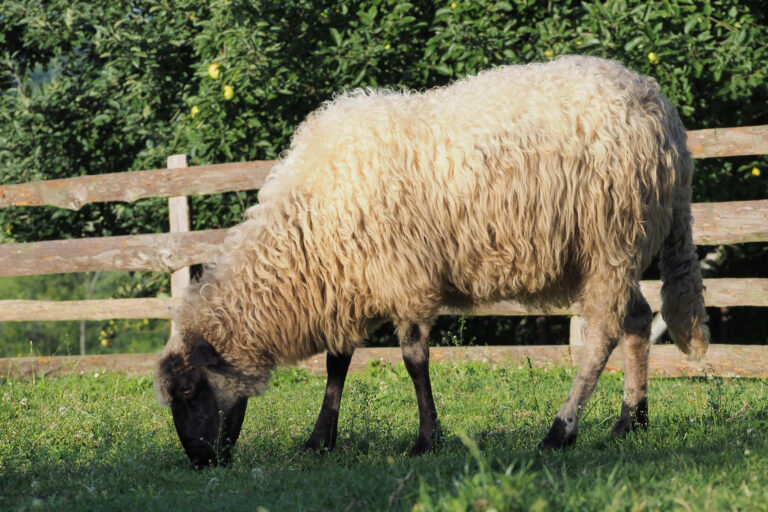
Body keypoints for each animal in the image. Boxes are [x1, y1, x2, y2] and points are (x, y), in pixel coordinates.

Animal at [153, 56, 712, 468]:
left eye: (190, 390)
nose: (200, 462)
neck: (305, 238)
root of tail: (661, 110)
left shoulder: (405, 278)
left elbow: (413, 361)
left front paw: (425, 440)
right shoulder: (352, 280)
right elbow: (338, 363)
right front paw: (320, 439)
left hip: (611, 239)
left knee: (601, 336)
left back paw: (561, 430)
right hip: (617, 246)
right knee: (637, 319)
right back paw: (630, 421)